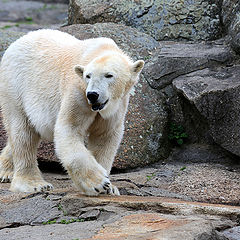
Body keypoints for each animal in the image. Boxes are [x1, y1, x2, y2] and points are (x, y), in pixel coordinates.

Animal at [0, 29, 143, 196]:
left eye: (109, 75)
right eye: (88, 76)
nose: (93, 95)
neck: (100, 50)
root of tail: (15, 44)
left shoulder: (118, 104)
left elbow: (105, 136)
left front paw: (110, 188)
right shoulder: (77, 93)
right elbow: (69, 129)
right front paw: (99, 183)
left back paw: (5, 170)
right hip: (15, 88)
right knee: (23, 133)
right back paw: (34, 184)